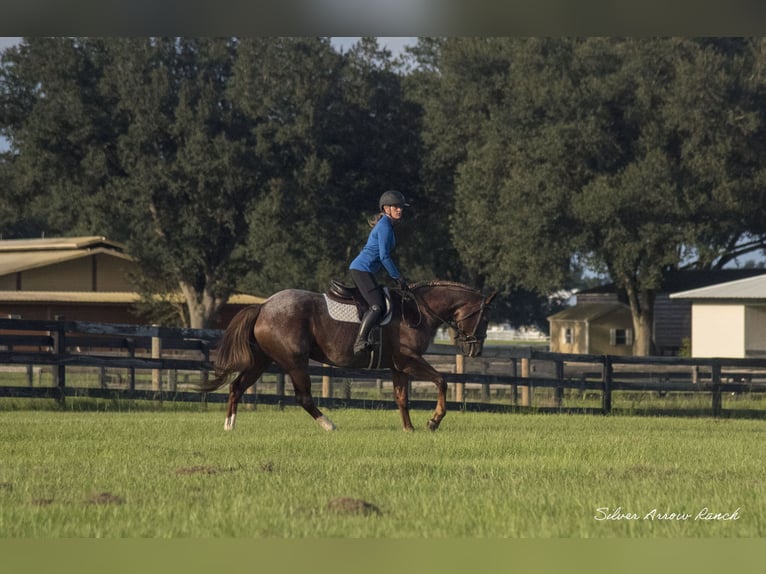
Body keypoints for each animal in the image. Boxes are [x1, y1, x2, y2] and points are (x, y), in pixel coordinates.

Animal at [198, 282, 498, 434]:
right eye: (484, 318)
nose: (475, 350)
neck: (419, 310)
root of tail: (263, 306)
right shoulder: (409, 360)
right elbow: (442, 381)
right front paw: (434, 420)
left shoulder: (398, 366)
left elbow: (401, 398)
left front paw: (409, 429)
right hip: (295, 361)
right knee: (303, 397)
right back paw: (329, 424)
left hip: (262, 361)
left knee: (236, 387)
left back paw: (229, 425)